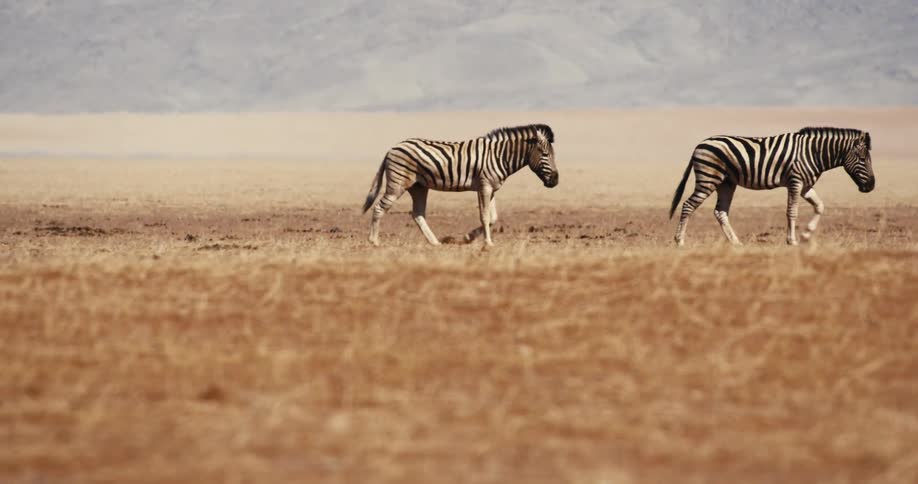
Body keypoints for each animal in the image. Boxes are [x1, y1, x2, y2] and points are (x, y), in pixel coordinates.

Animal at [362, 124, 558, 247]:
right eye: (545, 154)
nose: (556, 180)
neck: (500, 155)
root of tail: (391, 148)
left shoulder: (491, 188)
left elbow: (493, 218)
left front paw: (468, 237)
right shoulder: (484, 186)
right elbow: (485, 216)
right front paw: (488, 243)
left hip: (419, 187)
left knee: (417, 214)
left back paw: (434, 242)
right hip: (398, 183)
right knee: (379, 207)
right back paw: (374, 241)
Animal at [670, 127, 875, 246]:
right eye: (862, 159)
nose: (871, 186)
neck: (813, 153)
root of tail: (699, 145)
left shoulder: (806, 185)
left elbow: (820, 206)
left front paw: (806, 235)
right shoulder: (795, 181)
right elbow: (792, 212)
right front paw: (792, 240)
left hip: (726, 182)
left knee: (720, 212)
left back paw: (736, 243)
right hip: (708, 178)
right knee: (688, 205)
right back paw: (680, 241)